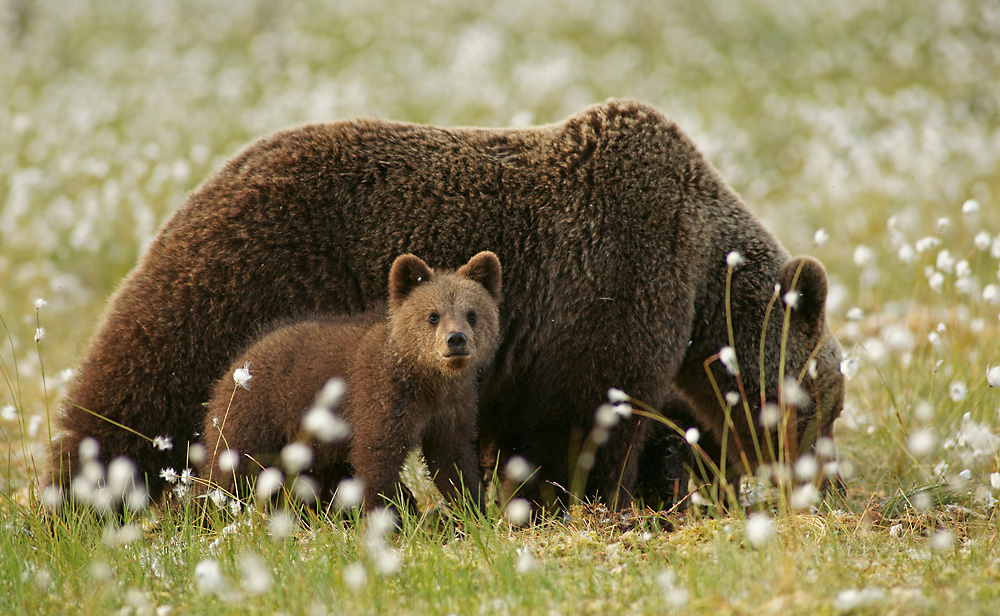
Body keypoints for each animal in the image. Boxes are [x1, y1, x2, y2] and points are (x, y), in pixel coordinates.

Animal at [47, 98, 844, 508]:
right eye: (826, 404)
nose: (825, 482)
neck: (707, 274)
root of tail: (198, 192)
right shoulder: (617, 272)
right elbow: (587, 408)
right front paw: (591, 501)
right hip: (240, 282)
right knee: (138, 391)